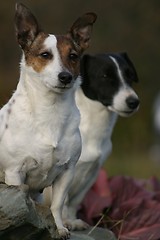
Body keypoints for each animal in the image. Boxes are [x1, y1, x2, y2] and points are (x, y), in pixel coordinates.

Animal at [0, 3, 96, 238]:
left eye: (73, 56)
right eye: (45, 55)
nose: (65, 77)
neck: (50, 110)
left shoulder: (67, 172)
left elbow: (57, 206)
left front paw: (60, 227)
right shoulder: (14, 173)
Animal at [62, 52, 140, 229]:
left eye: (129, 75)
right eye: (105, 76)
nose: (133, 102)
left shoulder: (92, 174)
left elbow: (73, 203)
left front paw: (72, 221)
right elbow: (63, 200)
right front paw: (63, 223)